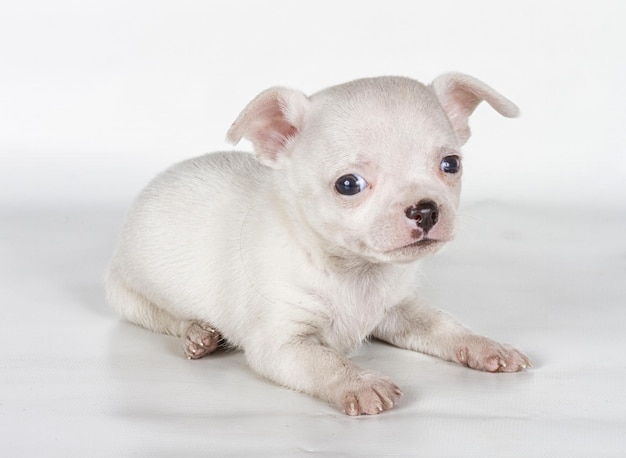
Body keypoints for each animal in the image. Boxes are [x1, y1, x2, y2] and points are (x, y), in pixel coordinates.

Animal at [105, 71, 528, 416]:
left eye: (451, 165)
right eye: (349, 184)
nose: (425, 209)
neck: (353, 271)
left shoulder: (398, 310)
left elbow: (442, 324)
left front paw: (484, 345)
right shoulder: (283, 343)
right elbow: (325, 361)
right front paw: (361, 383)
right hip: (128, 296)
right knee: (162, 316)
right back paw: (198, 334)